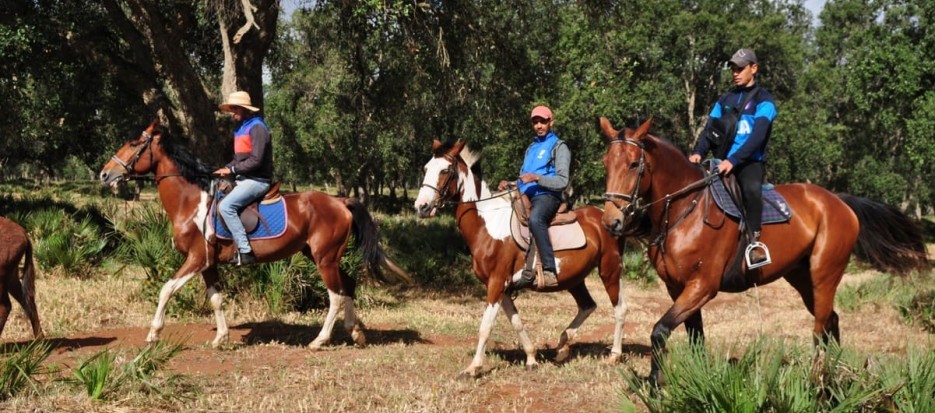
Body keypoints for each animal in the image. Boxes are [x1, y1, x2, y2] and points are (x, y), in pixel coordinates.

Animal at [99, 120, 410, 349]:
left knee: (335, 295)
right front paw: (221, 338)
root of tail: (340, 202)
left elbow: (166, 289)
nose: (104, 174)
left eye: (134, 144)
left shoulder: (197, 259)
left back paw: (319, 341)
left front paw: (153, 333)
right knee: (348, 286)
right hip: (321, 257)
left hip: (325, 260)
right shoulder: (208, 264)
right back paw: (356, 333)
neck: (191, 201)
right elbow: (216, 299)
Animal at [414, 139, 629, 378]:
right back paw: (563, 346)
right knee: (588, 306)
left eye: (445, 170)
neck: (487, 225)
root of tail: (610, 219)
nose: (421, 207)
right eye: (425, 168)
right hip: (574, 279)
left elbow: (486, 326)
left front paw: (473, 367)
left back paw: (613, 355)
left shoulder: (497, 283)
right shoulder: (504, 288)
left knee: (619, 309)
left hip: (609, 270)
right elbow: (516, 322)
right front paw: (532, 359)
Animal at [598, 117, 929, 384]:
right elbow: (695, 337)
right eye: (606, 162)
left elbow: (659, 330)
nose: (612, 221)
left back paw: (818, 380)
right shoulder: (677, 287)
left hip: (824, 276)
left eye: (633, 164)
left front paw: (655, 384)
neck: (683, 210)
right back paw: (833, 373)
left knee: (820, 327)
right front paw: (699, 379)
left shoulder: (703, 286)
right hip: (802, 279)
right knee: (831, 322)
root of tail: (839, 201)